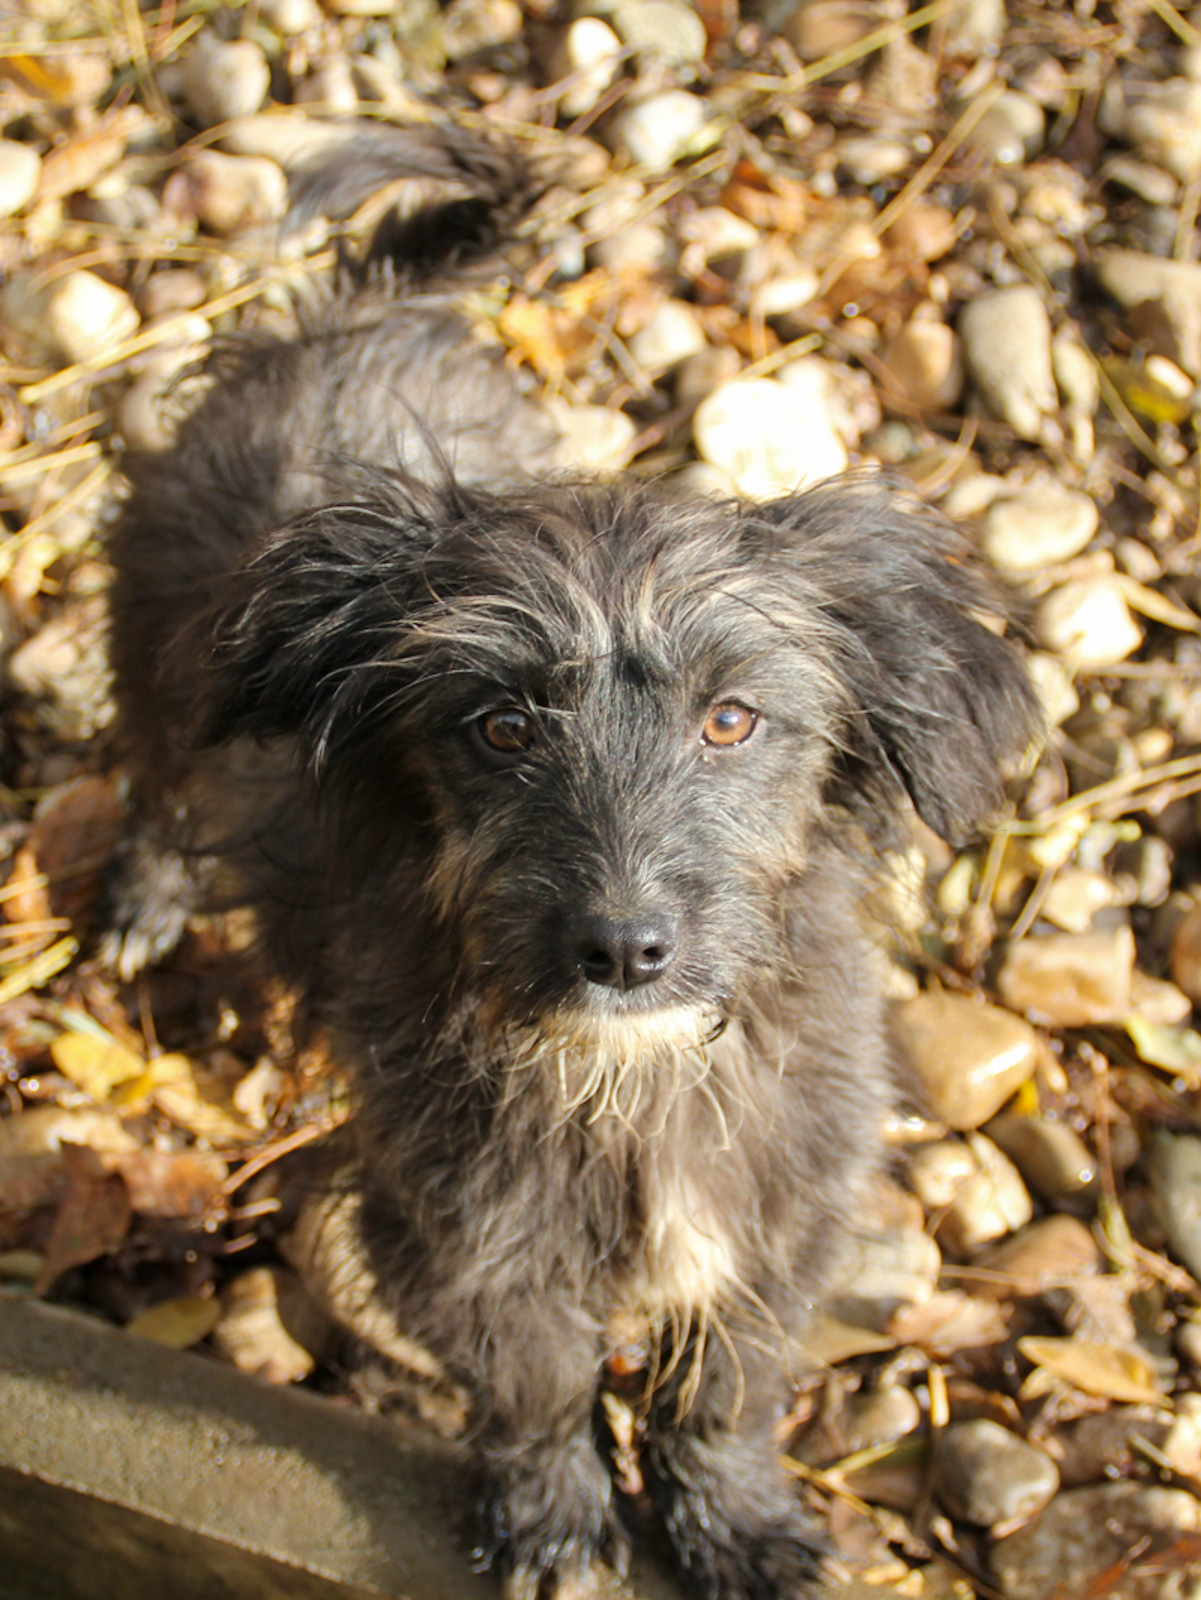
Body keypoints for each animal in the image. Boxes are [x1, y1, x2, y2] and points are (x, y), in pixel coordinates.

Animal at [107, 123, 1039, 1600]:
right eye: (497, 726)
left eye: (732, 718)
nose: (622, 948)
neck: (631, 1078)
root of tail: (350, 322)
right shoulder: (467, 1239)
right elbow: (536, 1389)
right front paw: (554, 1516)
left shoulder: (776, 1215)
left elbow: (725, 1391)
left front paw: (737, 1525)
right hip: (158, 672)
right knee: (152, 781)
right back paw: (144, 896)